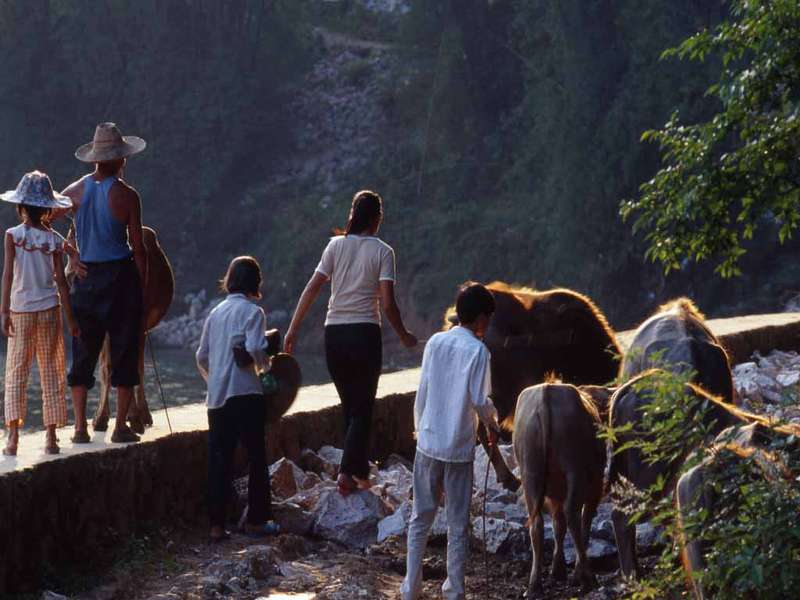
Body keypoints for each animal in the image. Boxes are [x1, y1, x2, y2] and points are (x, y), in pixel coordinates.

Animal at [506, 384, 612, 596]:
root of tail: (546, 390)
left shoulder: (554, 495)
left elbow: (557, 525)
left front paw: (557, 569)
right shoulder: (594, 488)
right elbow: (584, 521)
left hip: (530, 473)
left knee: (537, 524)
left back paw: (534, 585)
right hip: (574, 469)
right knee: (573, 516)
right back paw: (587, 577)